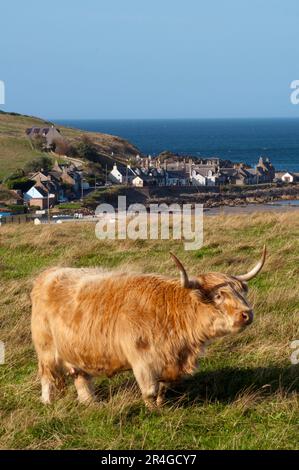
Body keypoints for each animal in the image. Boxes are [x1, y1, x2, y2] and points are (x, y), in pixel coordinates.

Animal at [31, 250, 268, 408]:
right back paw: (47, 402)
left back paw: (90, 402)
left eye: (240, 292)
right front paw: (152, 409)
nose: (247, 314)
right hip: (46, 349)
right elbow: (150, 390)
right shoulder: (143, 360)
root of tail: (49, 273)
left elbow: (162, 387)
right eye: (219, 295)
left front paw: (162, 405)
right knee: (47, 376)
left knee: (81, 377)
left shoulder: (168, 362)